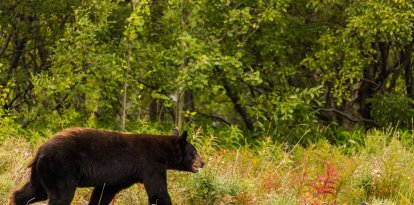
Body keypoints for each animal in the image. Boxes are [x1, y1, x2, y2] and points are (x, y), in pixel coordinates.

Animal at [9, 127, 204, 204]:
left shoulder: (119, 177)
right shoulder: (151, 165)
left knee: (33, 191)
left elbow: (103, 193)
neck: (163, 151)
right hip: (62, 168)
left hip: (42, 172)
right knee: (60, 196)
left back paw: (15, 199)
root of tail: (40, 150)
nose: (202, 162)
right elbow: (158, 193)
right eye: (195, 151)